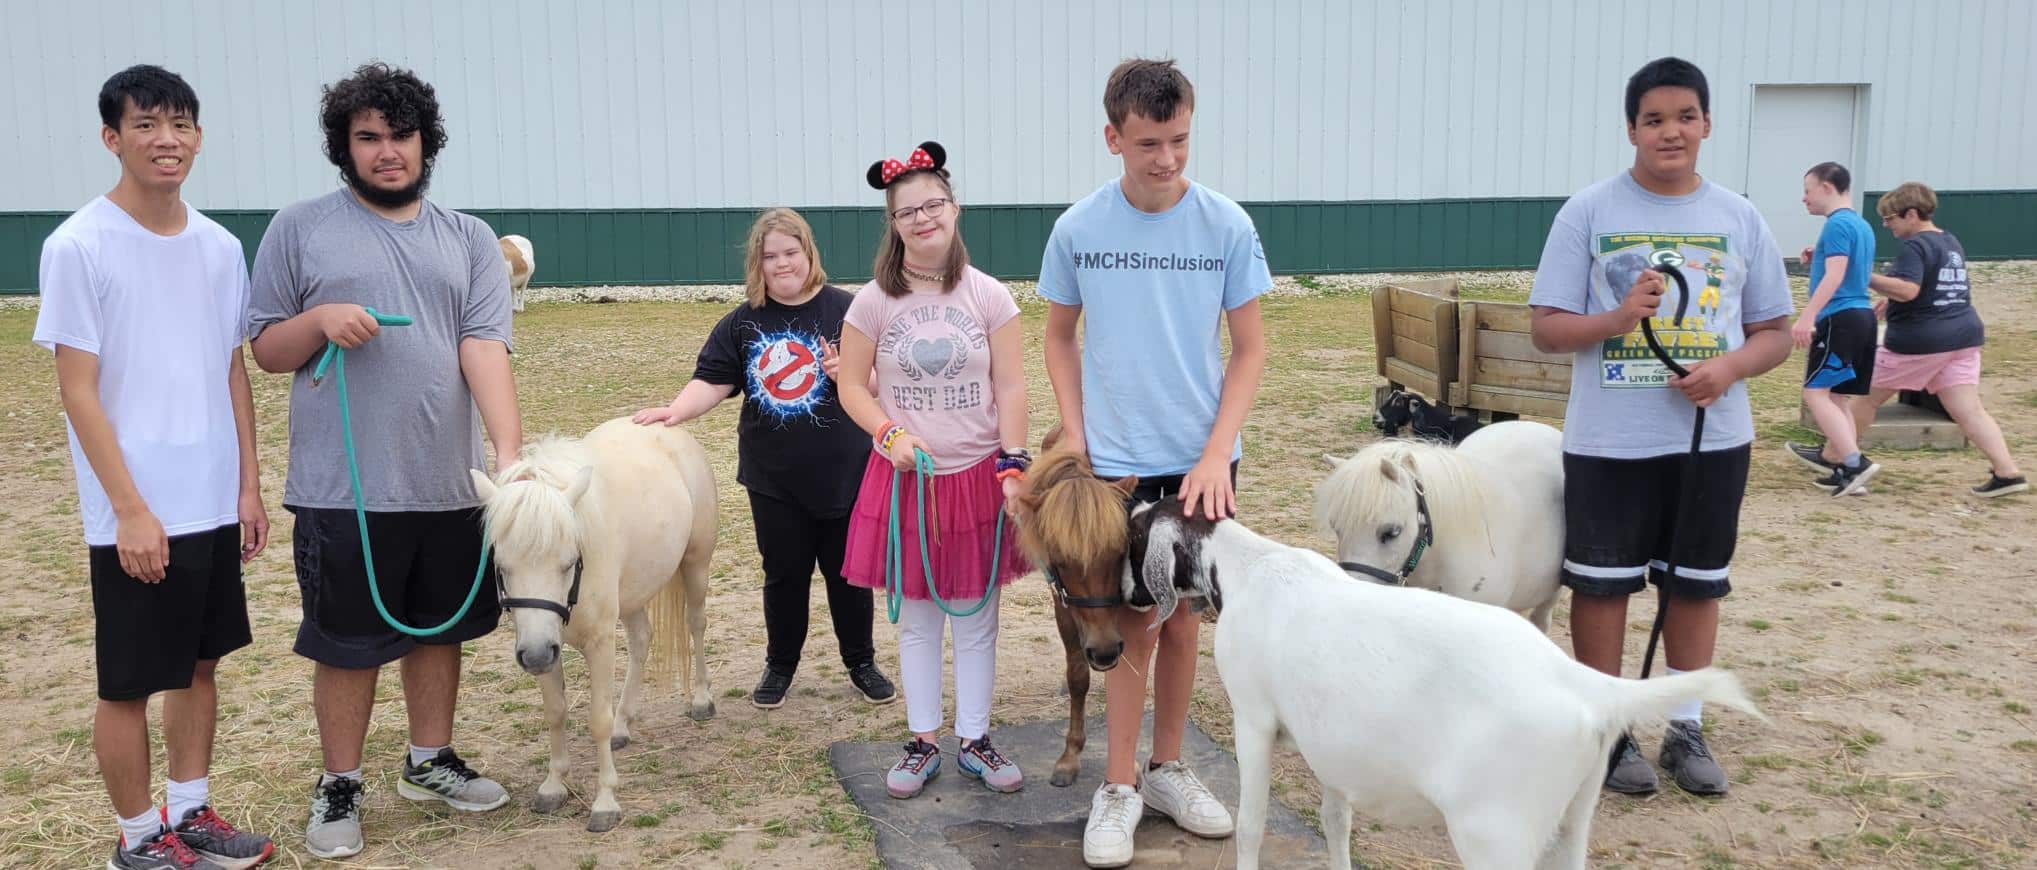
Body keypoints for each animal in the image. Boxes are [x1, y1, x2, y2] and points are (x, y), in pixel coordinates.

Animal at [468, 419, 717, 835]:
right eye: (501, 566)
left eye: (569, 561)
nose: (535, 656)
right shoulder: (543, 642)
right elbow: (555, 711)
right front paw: (554, 785)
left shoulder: (598, 642)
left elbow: (597, 719)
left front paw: (605, 802)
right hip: (633, 592)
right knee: (641, 641)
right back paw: (623, 724)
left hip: (695, 564)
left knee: (695, 625)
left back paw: (701, 700)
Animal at [1124, 501, 1759, 867]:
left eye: (1132, 536)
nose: (1128, 597)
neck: (1252, 567)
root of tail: (1588, 687)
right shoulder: (1334, 752)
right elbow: (1336, 824)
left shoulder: (1253, 721)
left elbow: (1253, 827)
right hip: (1570, 821)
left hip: (1496, 835)